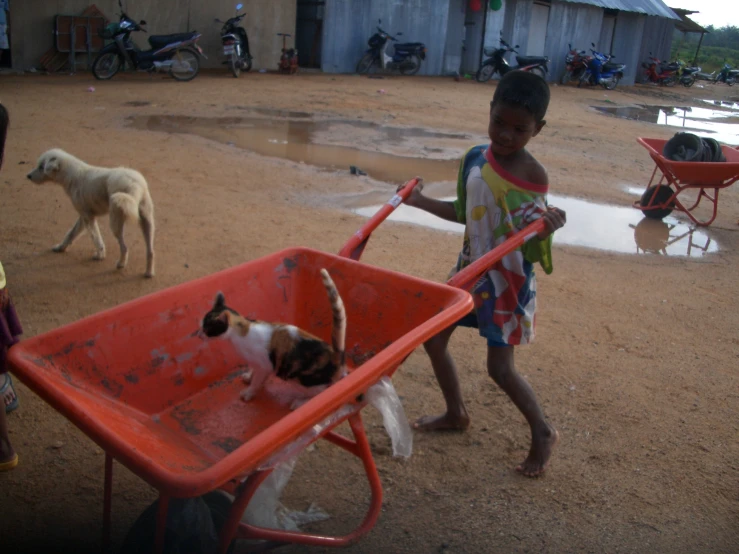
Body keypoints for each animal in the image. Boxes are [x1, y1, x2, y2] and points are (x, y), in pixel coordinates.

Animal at [27, 148, 156, 276]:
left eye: (41, 167)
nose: (28, 176)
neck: (72, 175)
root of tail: (135, 184)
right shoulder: (83, 216)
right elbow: (71, 233)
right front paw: (61, 248)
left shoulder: (88, 217)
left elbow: (96, 238)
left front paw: (100, 255)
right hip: (147, 222)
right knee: (150, 251)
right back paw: (148, 273)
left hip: (115, 222)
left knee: (124, 247)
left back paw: (121, 264)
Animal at [201, 270, 348, 408]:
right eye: (202, 324)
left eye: (207, 329)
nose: (200, 334)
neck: (242, 330)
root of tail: (336, 354)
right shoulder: (261, 364)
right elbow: (254, 370)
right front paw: (249, 376)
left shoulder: (264, 365)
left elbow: (257, 380)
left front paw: (249, 392)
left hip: (302, 379)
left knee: (321, 393)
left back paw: (300, 403)